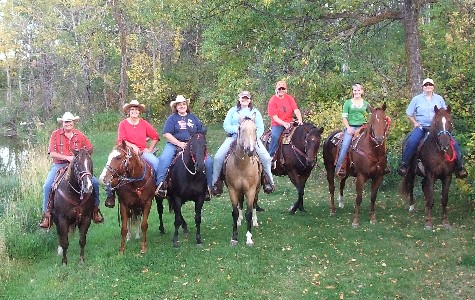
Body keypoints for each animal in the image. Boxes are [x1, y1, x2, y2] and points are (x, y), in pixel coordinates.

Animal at [225, 115, 262, 246]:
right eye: (241, 129)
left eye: (255, 129)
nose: (250, 150)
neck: (242, 166)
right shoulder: (232, 190)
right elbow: (235, 212)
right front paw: (234, 237)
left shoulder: (251, 190)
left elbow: (249, 213)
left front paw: (249, 238)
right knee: (240, 204)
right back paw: (239, 221)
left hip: (257, 189)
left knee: (255, 204)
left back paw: (255, 222)